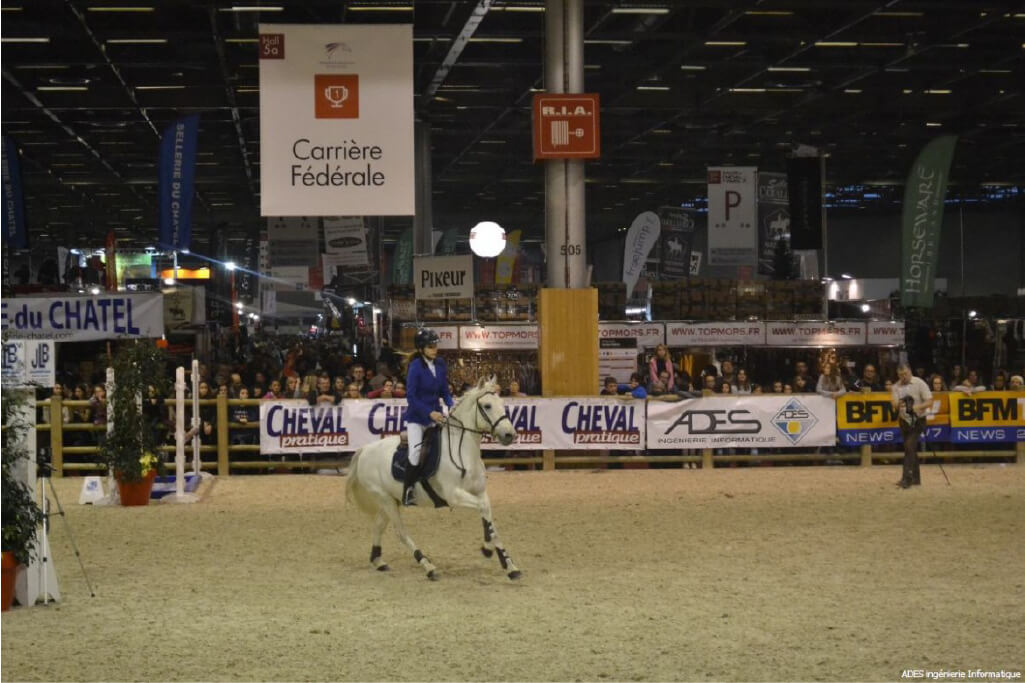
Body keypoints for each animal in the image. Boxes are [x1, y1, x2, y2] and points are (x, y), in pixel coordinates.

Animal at [344, 375, 520, 578]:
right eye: (487, 406)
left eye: (502, 403)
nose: (509, 435)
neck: (463, 451)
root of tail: (365, 449)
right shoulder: (454, 496)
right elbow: (484, 511)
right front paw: (490, 550)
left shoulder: (481, 493)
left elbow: (488, 518)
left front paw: (506, 562)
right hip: (385, 499)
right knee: (400, 532)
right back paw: (427, 565)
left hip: (390, 500)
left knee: (379, 525)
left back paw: (378, 560)